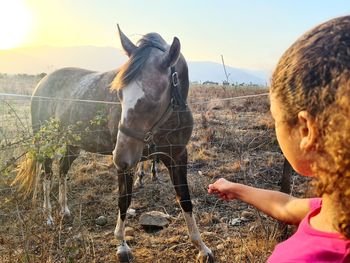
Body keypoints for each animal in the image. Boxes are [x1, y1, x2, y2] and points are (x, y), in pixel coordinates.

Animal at [14, 26, 213, 262]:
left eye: (153, 99)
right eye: (119, 94)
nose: (119, 157)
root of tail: (41, 84)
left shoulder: (177, 157)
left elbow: (185, 200)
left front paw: (202, 248)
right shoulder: (130, 165)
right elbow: (124, 200)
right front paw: (122, 244)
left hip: (73, 144)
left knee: (62, 171)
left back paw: (64, 210)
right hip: (47, 141)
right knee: (47, 174)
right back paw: (48, 215)